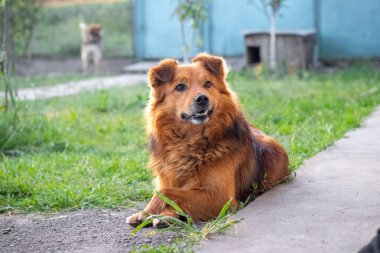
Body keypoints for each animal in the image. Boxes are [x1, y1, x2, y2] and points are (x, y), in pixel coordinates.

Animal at [126, 53, 290, 227]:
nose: (202, 99)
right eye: (180, 87)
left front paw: (152, 213)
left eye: (208, 84)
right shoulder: (168, 179)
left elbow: (166, 193)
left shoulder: (220, 197)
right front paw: (147, 213)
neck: (190, 143)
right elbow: (166, 192)